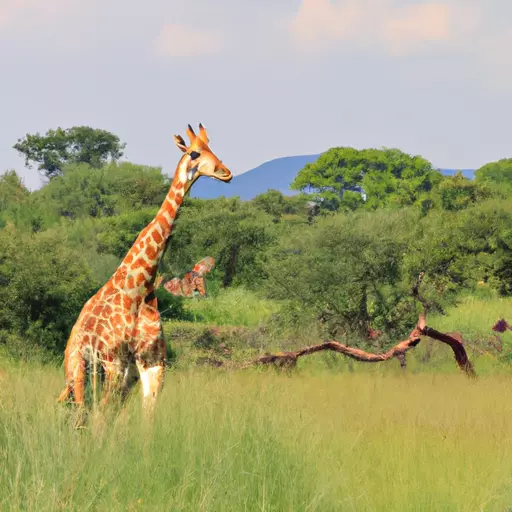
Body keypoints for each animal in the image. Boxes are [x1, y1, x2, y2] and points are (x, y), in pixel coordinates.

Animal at [57, 125, 232, 412]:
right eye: (195, 153)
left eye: (212, 148)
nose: (225, 172)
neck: (140, 284)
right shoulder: (116, 361)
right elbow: (103, 416)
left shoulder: (152, 361)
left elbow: (147, 414)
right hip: (79, 366)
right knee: (84, 411)